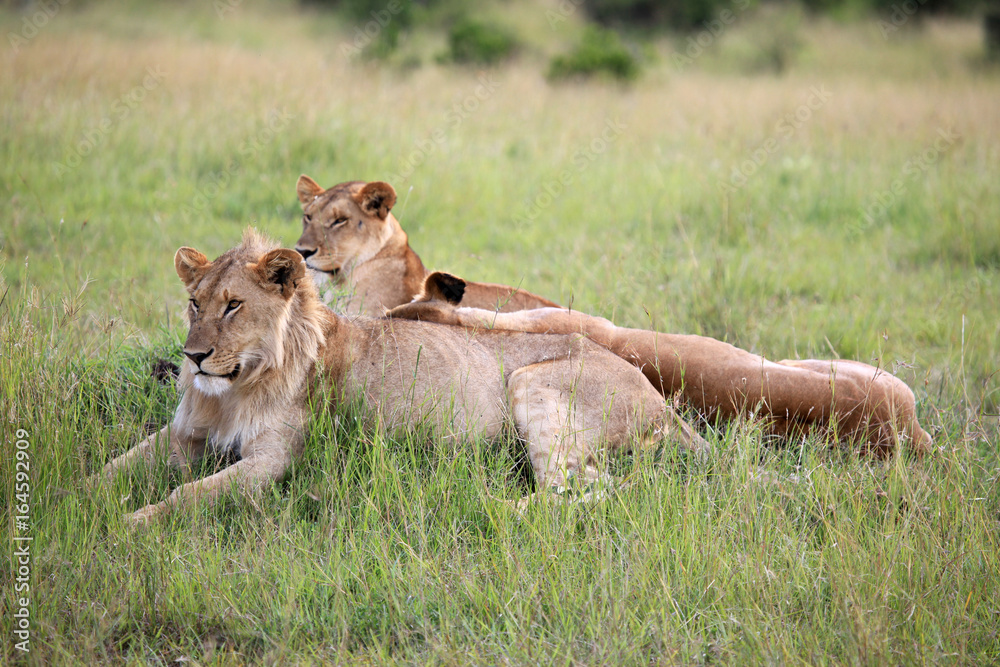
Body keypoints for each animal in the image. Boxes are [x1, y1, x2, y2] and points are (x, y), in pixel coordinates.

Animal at [97, 230, 707, 524]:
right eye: (194, 303)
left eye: (233, 305)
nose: (194, 356)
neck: (234, 388)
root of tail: (664, 404)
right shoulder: (185, 433)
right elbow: (112, 470)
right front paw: (79, 504)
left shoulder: (274, 459)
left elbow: (191, 495)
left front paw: (130, 524)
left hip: (532, 383)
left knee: (588, 491)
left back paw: (482, 506)